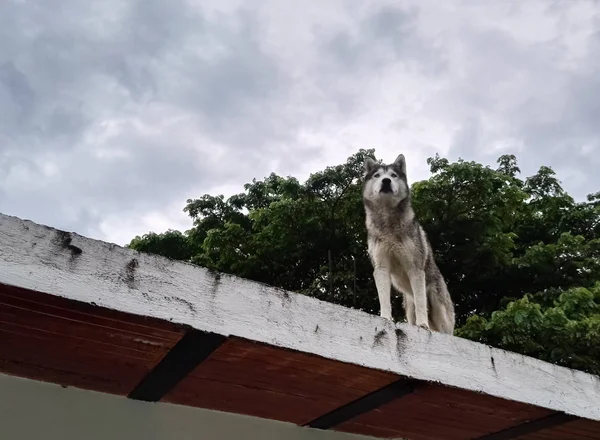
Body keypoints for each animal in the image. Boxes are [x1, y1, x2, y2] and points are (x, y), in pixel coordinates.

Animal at [360, 155, 454, 334]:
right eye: (377, 175)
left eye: (393, 175)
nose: (386, 181)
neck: (388, 224)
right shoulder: (381, 268)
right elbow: (384, 300)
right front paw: (385, 318)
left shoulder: (414, 268)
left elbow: (421, 303)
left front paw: (422, 325)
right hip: (409, 308)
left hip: (438, 306)